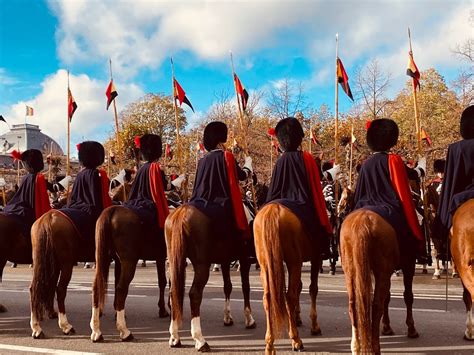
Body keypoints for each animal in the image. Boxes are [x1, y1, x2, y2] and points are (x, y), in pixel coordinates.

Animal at [164, 203, 260, 354]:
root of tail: (181, 212)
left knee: (173, 293)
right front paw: (249, 319)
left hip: (174, 261)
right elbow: (246, 287)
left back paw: (174, 337)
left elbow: (228, 287)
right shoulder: (244, 260)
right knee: (195, 294)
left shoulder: (225, 260)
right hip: (202, 265)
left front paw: (227, 318)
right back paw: (200, 340)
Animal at [252, 204, 322, 354]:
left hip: (265, 266)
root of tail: (273, 209)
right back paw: (296, 340)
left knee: (268, 298)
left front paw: (297, 317)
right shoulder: (315, 257)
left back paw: (270, 344)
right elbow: (312, 289)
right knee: (290, 296)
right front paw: (314, 326)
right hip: (293, 262)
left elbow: (299, 287)